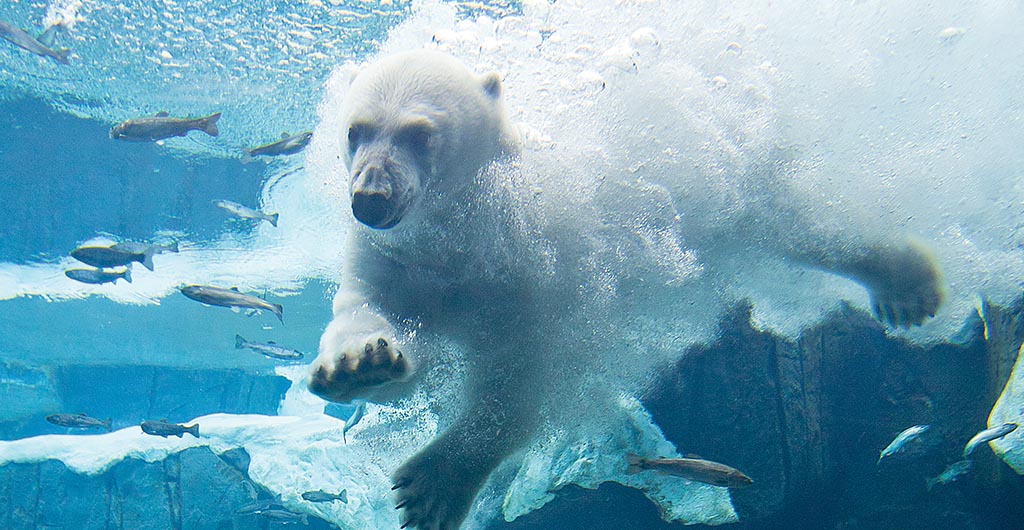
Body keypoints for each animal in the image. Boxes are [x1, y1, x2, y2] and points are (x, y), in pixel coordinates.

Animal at [307, 49, 944, 530]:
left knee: (806, 230)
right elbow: (369, 316)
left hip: (734, 196)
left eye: (420, 134)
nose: (370, 198)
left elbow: (523, 376)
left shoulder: (537, 269)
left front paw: (434, 486)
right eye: (356, 130)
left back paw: (908, 286)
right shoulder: (393, 258)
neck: (461, 238)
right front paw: (357, 365)